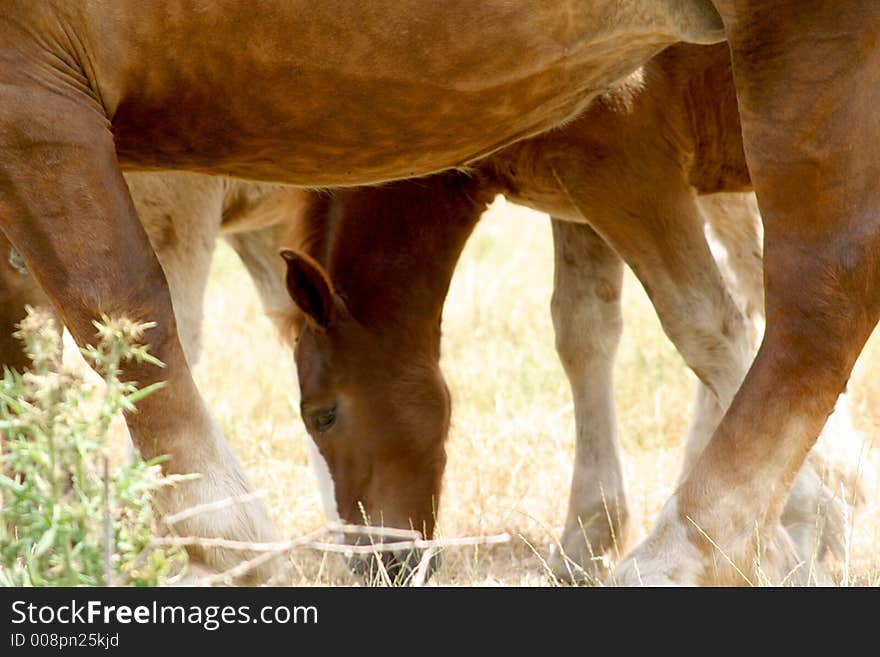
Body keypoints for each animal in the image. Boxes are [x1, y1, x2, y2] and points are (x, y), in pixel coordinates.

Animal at [1, 0, 880, 584]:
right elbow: (588, 330)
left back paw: (691, 549)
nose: (377, 560)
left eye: (323, 414)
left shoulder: (622, 165)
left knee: (814, 290)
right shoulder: (584, 194)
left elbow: (705, 323)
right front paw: (589, 534)